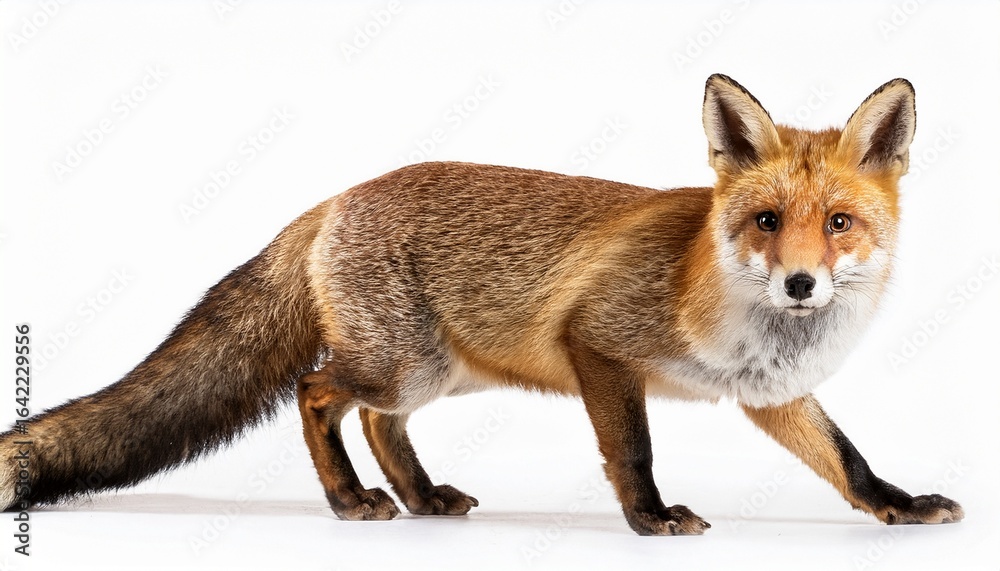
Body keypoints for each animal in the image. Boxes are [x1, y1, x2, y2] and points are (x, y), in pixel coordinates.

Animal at [0, 74, 963, 535]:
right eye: (766, 221)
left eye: (838, 223)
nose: (800, 283)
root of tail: (336, 196)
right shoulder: (598, 346)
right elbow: (634, 451)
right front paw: (650, 518)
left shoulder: (771, 394)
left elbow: (848, 461)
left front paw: (900, 507)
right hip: (403, 363)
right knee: (317, 392)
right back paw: (349, 500)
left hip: (439, 372)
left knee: (378, 422)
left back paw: (420, 495)